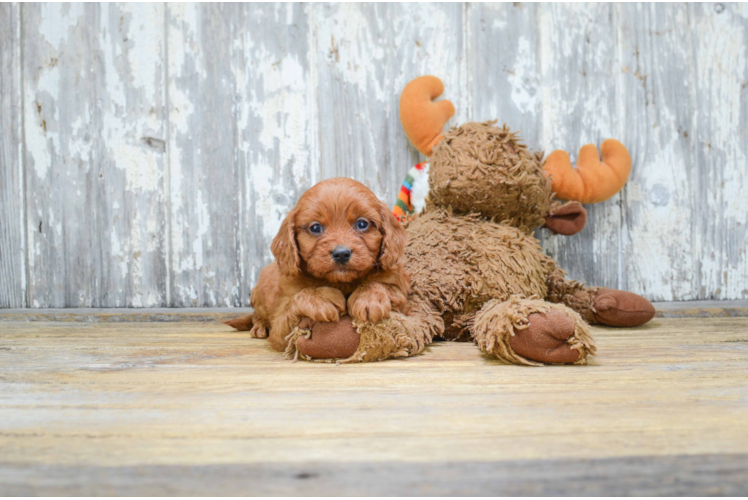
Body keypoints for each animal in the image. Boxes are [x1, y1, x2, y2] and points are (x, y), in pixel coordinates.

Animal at [225, 178, 410, 354]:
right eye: (315, 227)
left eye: (362, 224)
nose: (341, 253)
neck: (341, 282)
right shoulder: (280, 329)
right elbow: (300, 298)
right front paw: (322, 297)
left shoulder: (401, 297)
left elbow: (385, 287)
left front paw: (368, 298)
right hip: (258, 295)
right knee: (257, 315)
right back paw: (259, 326)